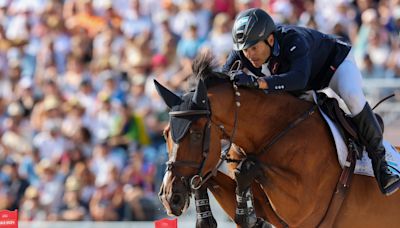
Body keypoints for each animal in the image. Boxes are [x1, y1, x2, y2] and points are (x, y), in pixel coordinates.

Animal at [155, 54, 400, 228]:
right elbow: (209, 179)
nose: (170, 198)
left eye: (196, 134)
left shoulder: (302, 205)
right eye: (166, 134)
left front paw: (247, 216)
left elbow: (247, 169)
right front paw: (208, 218)